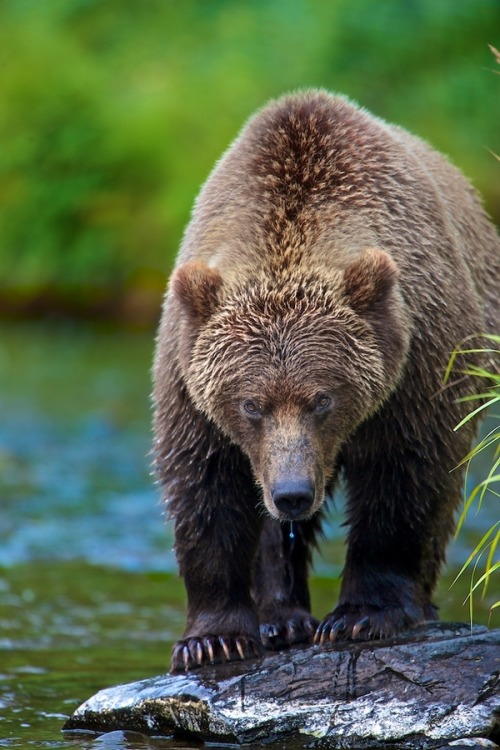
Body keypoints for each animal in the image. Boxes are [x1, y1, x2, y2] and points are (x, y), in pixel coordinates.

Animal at [152, 91, 500, 672]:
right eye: (251, 404)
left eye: (322, 399)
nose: (293, 493)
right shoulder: (188, 373)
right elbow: (206, 484)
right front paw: (213, 638)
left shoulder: (415, 362)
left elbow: (406, 475)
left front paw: (362, 614)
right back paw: (280, 618)